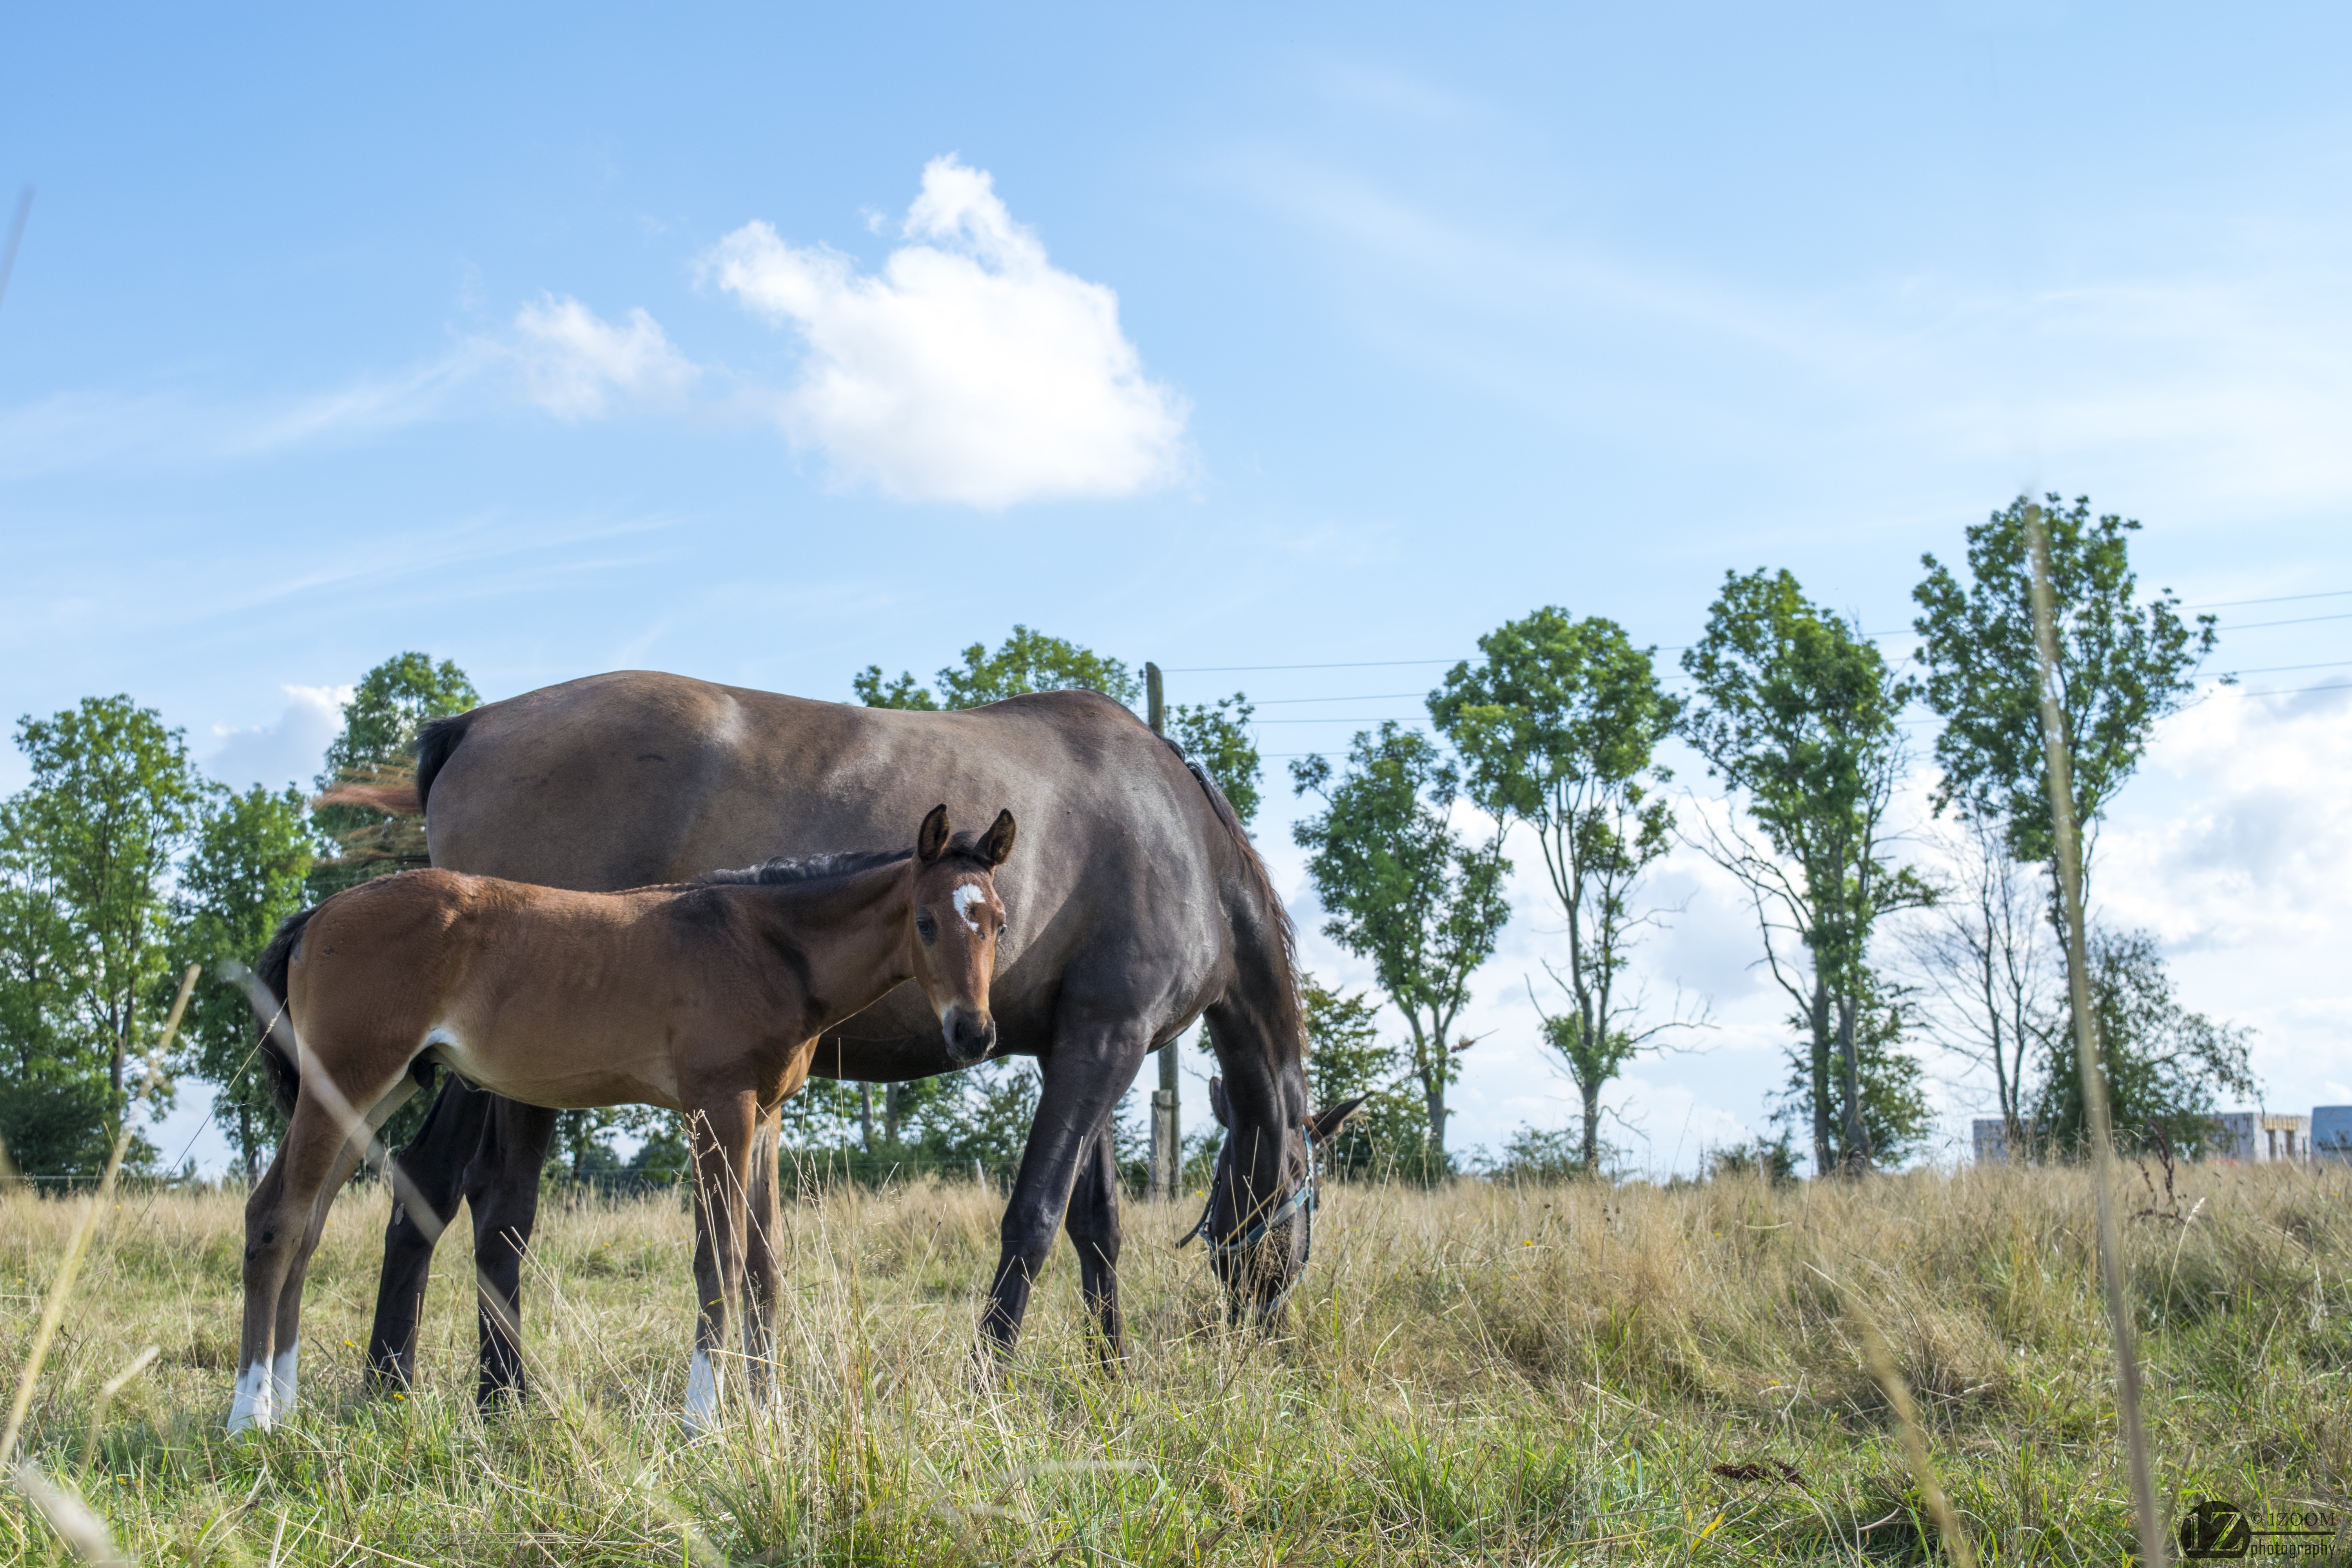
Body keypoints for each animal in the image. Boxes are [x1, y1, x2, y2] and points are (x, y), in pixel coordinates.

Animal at [227, 803, 1013, 1435]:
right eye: (926, 922)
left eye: (998, 924)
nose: (973, 1033)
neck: (764, 942)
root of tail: (318, 916)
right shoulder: (717, 1109)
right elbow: (719, 1259)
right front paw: (704, 1422)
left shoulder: (767, 1119)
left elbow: (767, 1264)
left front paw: (771, 1416)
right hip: (347, 1080)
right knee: (277, 1220)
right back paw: (251, 1419)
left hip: (369, 1092)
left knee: (309, 1224)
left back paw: (285, 1407)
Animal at [335, 670, 1334, 1401]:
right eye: (1308, 1201)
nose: (1269, 1333)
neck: (1181, 836)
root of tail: (476, 725)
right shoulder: (1108, 1043)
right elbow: (1037, 1216)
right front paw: (988, 1380)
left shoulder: (1078, 1043)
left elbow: (1096, 1225)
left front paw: (1111, 1374)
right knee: (501, 1203)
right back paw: (501, 1394)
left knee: (426, 1182)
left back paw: (393, 1383)